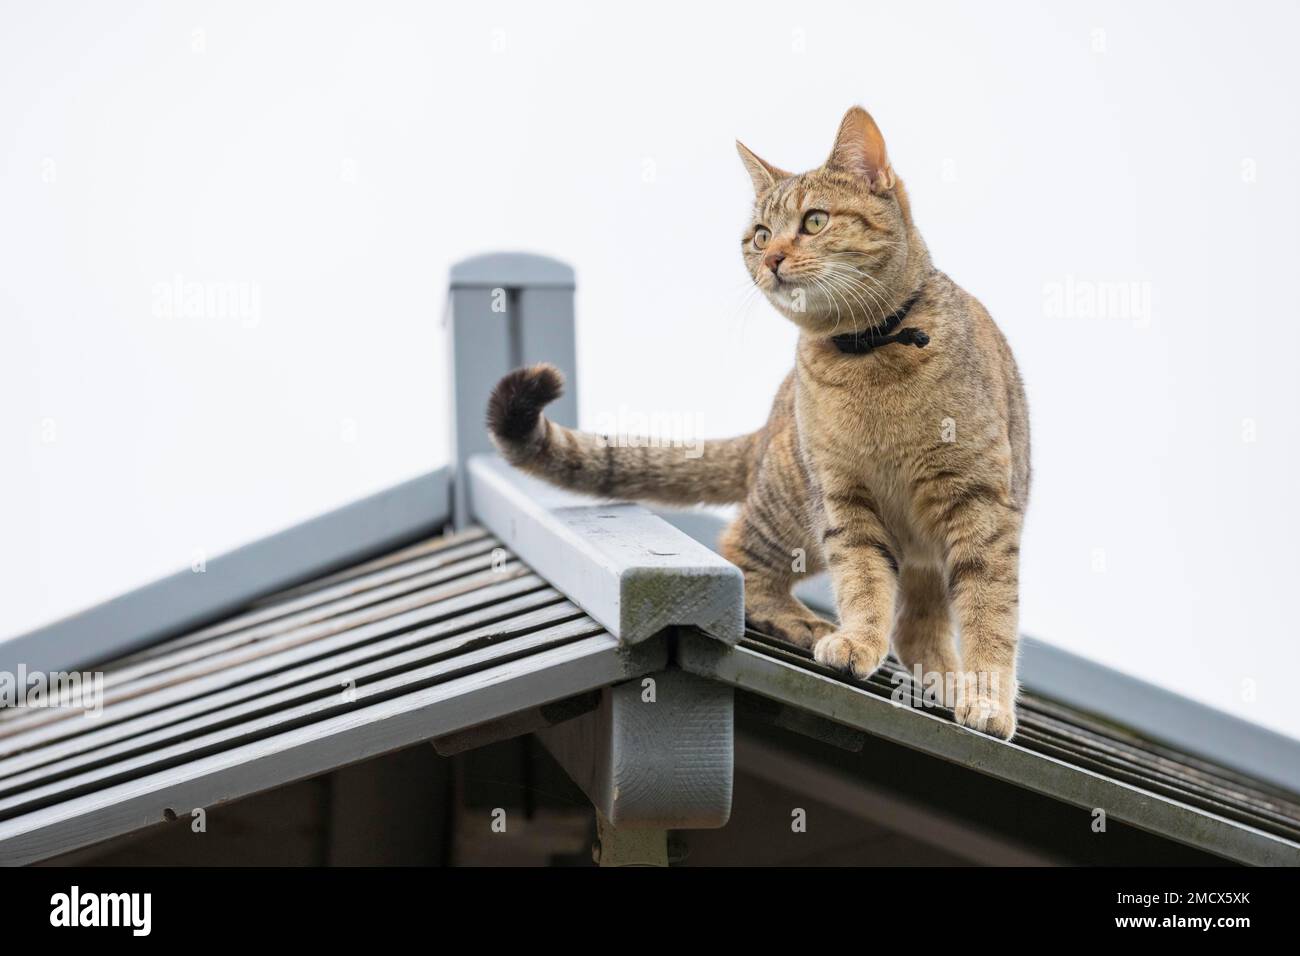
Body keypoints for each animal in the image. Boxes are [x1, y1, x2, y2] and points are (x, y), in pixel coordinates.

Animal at [483, 106, 1029, 738]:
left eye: (815, 220)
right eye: (762, 235)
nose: (771, 259)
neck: (868, 355)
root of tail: (772, 420)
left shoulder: (979, 504)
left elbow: (989, 609)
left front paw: (986, 699)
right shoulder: (843, 499)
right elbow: (863, 579)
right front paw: (856, 641)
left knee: (918, 627)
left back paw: (940, 678)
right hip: (793, 507)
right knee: (746, 560)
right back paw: (810, 624)